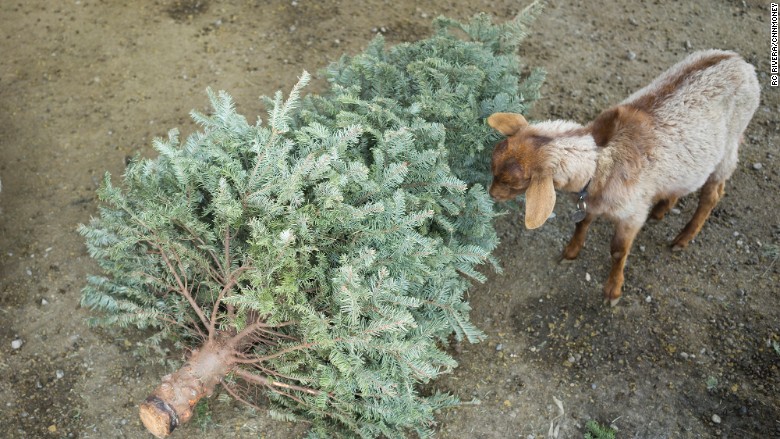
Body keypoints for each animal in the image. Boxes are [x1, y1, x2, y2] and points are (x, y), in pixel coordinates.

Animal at [488, 50, 760, 306]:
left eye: (514, 183)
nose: (491, 195)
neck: (601, 161)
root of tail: (740, 62)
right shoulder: (590, 202)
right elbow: (581, 224)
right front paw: (570, 251)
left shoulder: (632, 213)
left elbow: (618, 251)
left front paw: (612, 290)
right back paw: (662, 208)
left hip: (729, 148)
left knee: (712, 194)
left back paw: (682, 239)